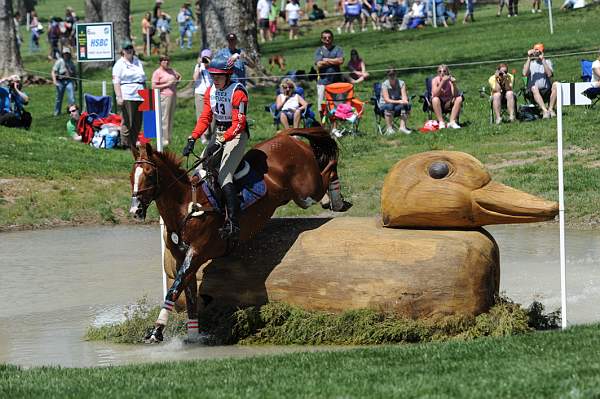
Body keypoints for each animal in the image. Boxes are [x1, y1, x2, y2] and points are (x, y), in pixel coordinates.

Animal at [129, 128, 350, 344]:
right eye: (132, 176)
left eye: (149, 175)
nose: (135, 211)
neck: (185, 207)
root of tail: (285, 136)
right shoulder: (181, 258)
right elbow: (188, 295)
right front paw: (192, 337)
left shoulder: (197, 252)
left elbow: (175, 289)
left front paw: (156, 332)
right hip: (299, 195)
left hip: (308, 187)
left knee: (329, 167)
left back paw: (337, 200)